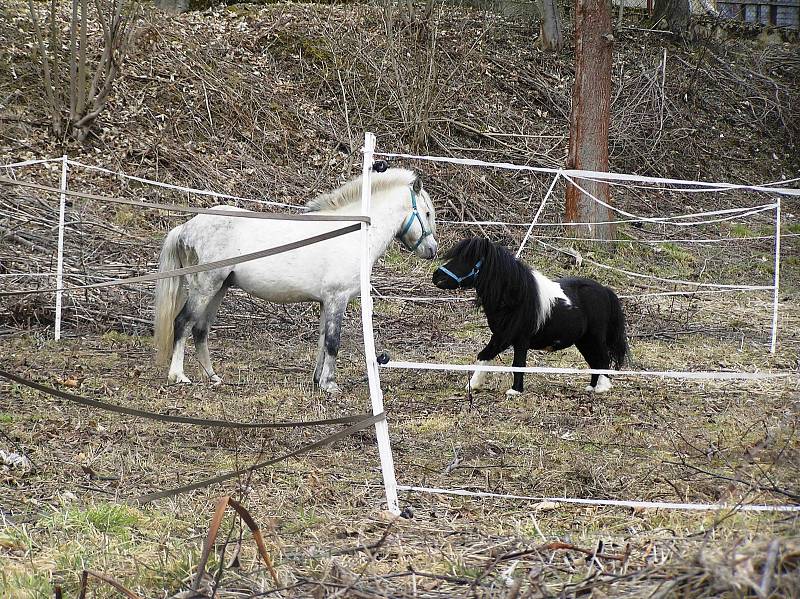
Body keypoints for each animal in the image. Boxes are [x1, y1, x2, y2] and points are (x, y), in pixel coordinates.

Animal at [155, 169, 438, 394]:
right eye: (426, 213)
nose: (432, 250)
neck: (351, 233)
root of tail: (186, 227)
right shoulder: (337, 299)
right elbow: (333, 342)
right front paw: (330, 385)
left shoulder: (326, 302)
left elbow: (323, 340)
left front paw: (318, 380)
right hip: (205, 287)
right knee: (183, 323)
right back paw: (178, 376)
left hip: (219, 289)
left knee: (200, 329)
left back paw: (212, 376)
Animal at [432, 237, 632, 396]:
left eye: (467, 259)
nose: (436, 276)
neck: (515, 297)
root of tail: (605, 290)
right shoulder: (502, 336)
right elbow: (485, 354)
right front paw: (473, 385)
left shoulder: (518, 338)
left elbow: (517, 363)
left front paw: (515, 391)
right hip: (583, 341)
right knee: (594, 361)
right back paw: (592, 387)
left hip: (595, 336)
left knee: (602, 359)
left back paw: (602, 388)